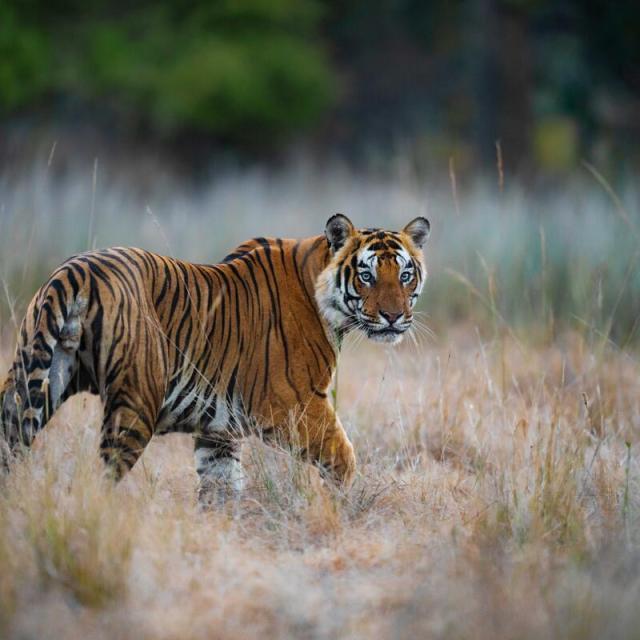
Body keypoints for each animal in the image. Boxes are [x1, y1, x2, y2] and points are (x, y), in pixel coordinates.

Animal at [0, 214, 430, 500]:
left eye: (405, 275)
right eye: (367, 275)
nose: (394, 317)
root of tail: (75, 271)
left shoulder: (219, 431)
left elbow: (221, 488)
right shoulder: (294, 406)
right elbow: (343, 457)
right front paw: (337, 508)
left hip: (33, 383)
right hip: (134, 404)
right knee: (98, 480)